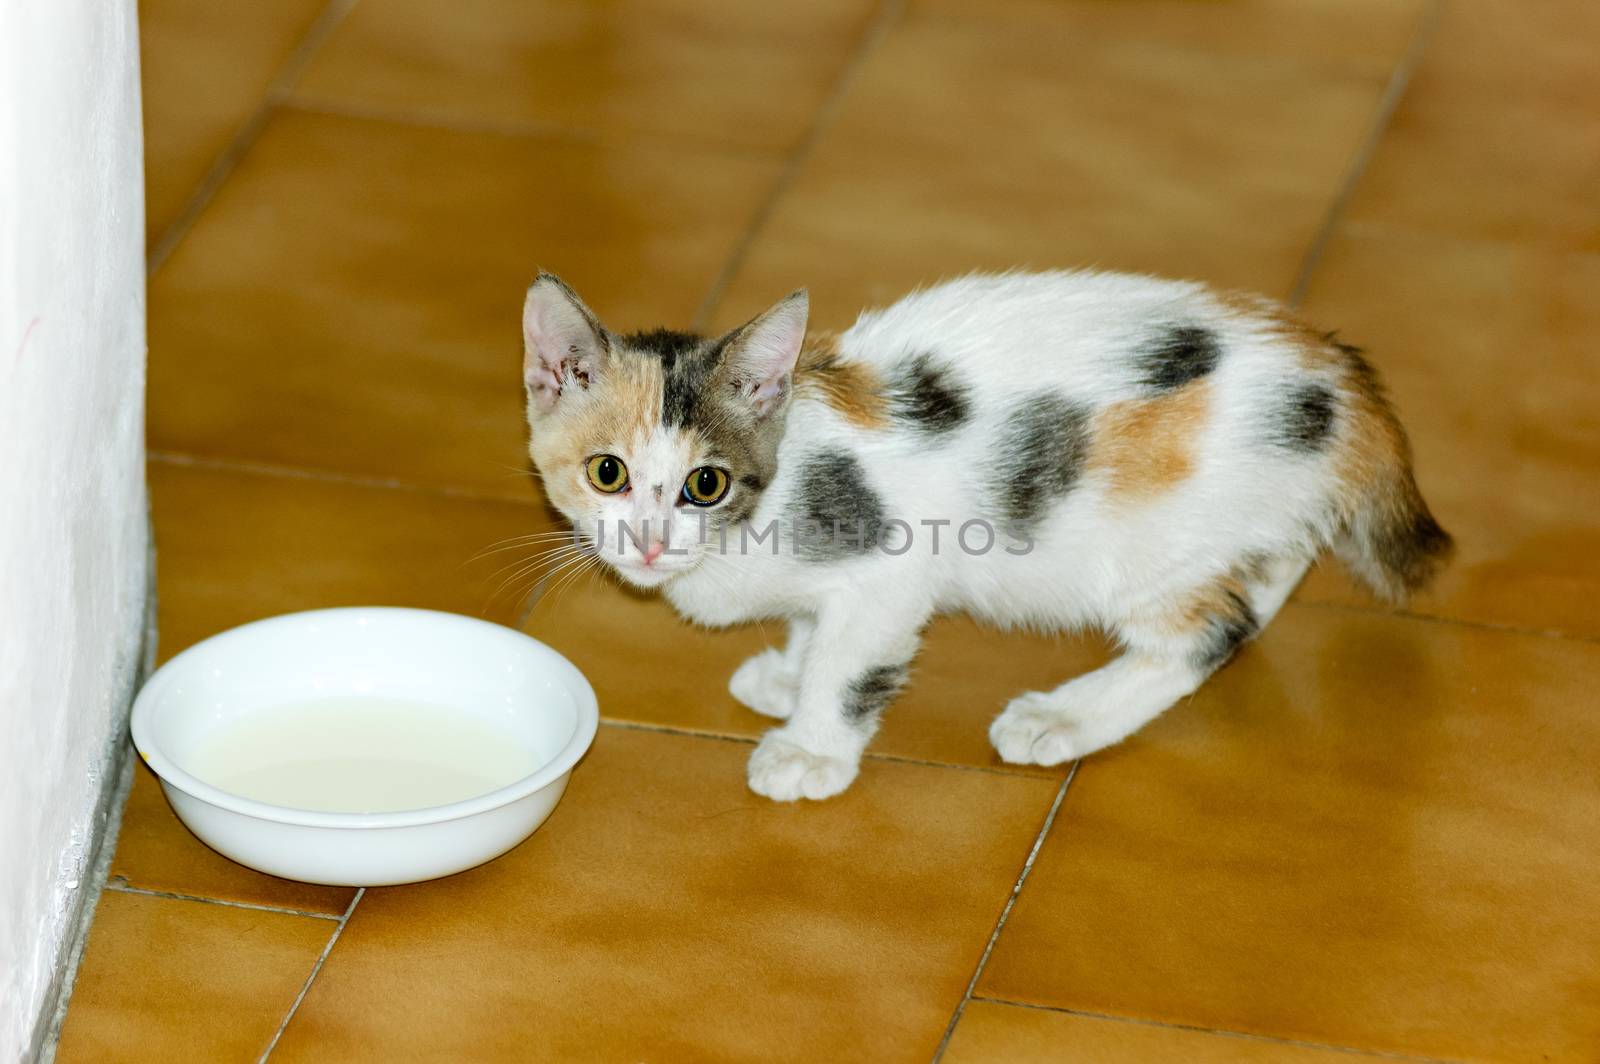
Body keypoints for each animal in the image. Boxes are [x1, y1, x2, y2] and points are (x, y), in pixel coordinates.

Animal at [524, 270, 1452, 800]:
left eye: (705, 485)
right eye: (606, 473)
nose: (648, 543)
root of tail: (1335, 367)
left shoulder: (893, 566)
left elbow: (851, 661)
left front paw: (813, 747)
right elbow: (812, 627)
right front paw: (788, 671)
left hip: (1150, 547)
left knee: (1209, 634)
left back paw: (1064, 717)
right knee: (1269, 574)